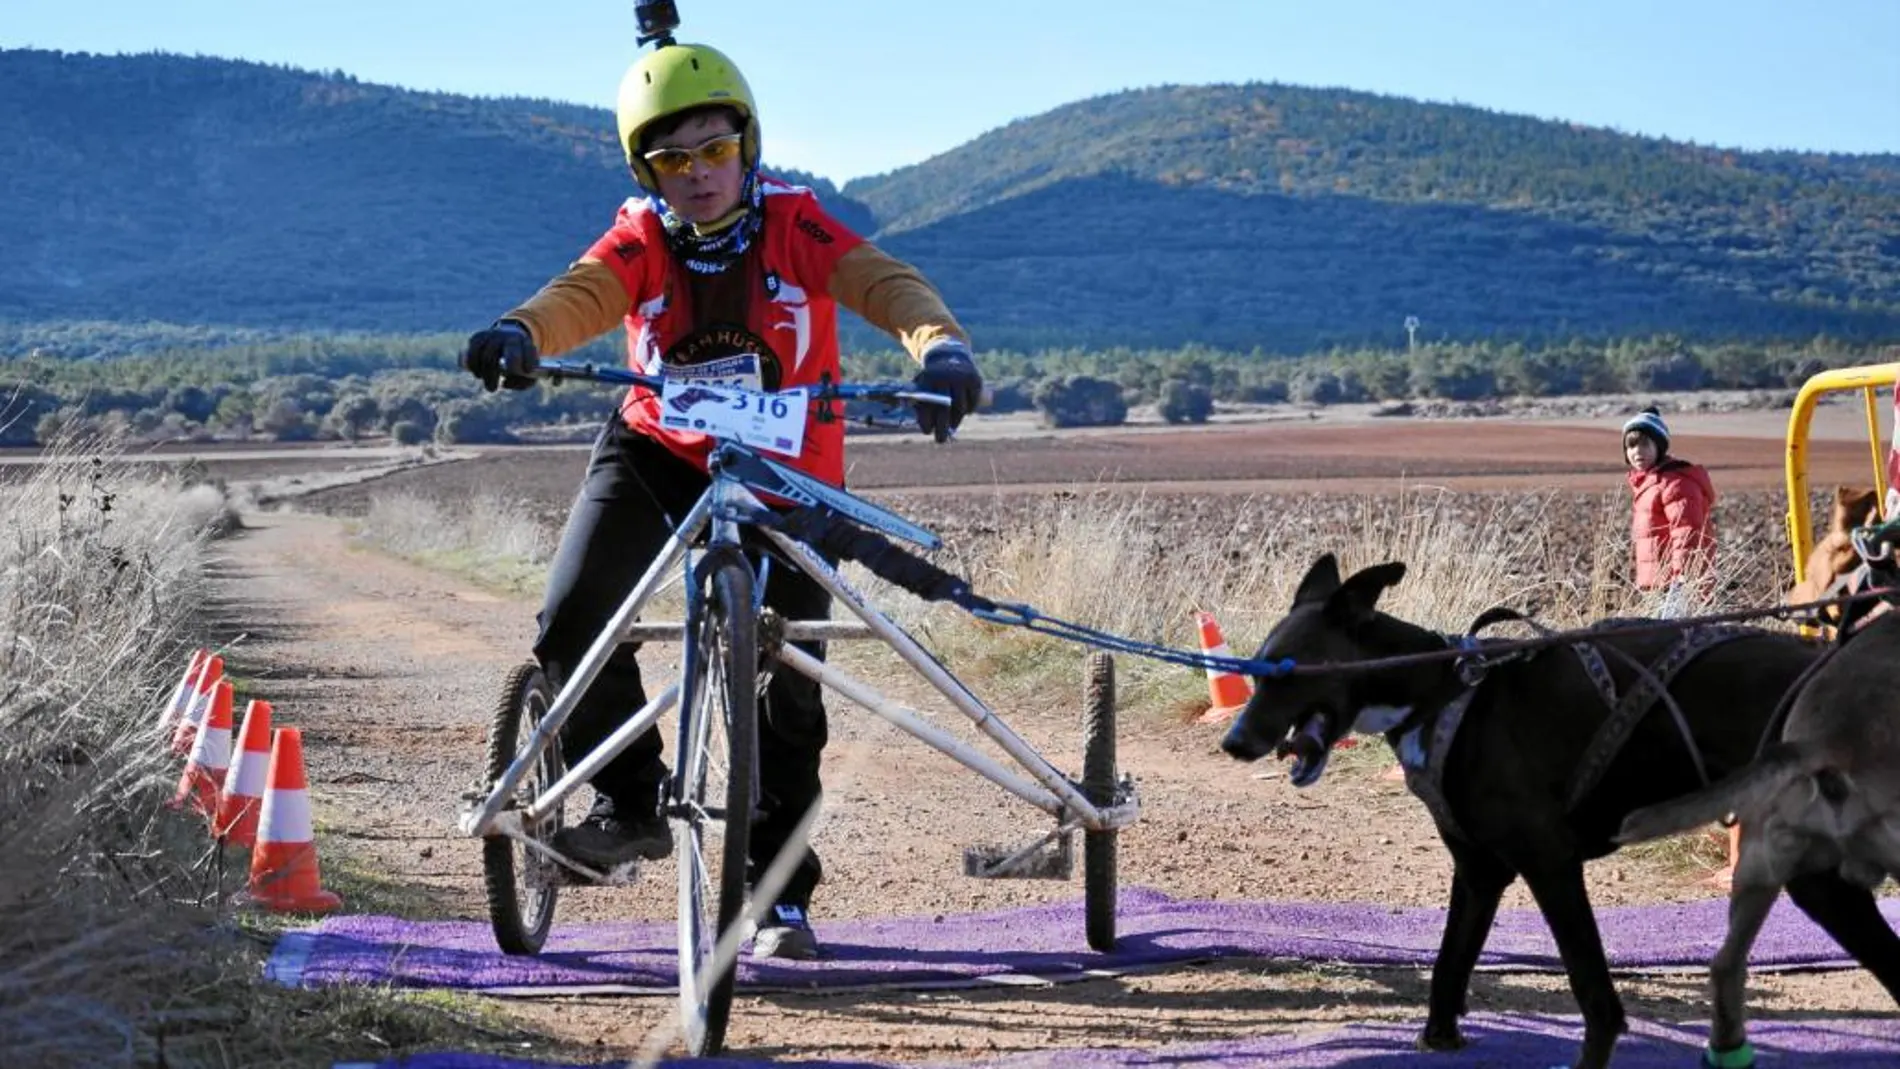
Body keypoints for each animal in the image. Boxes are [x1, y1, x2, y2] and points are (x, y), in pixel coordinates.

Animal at [1216, 558, 1900, 1069]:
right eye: (1256, 671)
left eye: (1286, 673)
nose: (1234, 743)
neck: (1443, 691)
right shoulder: (1479, 872)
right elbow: (1449, 961)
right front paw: (1439, 1039)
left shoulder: (1550, 863)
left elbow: (1595, 995)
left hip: (1814, 874)